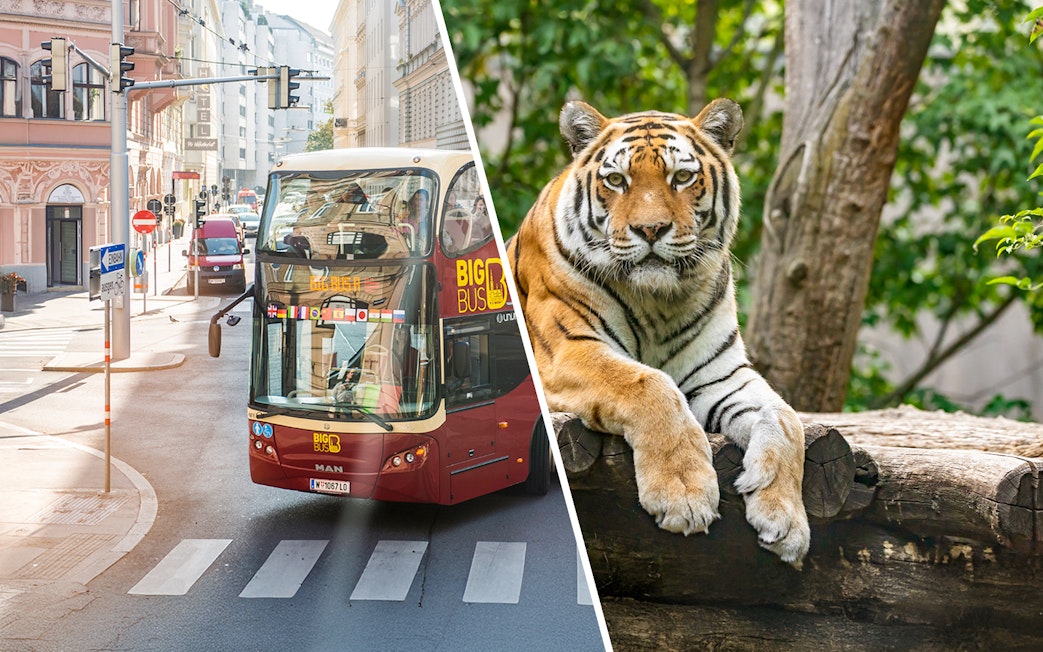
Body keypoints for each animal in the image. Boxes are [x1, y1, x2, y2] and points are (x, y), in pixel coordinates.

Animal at [506, 98, 810, 565]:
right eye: (616, 180)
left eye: (681, 177)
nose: (650, 230)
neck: (659, 302)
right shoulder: (568, 351)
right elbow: (649, 384)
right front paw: (684, 494)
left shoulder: (722, 374)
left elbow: (786, 419)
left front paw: (786, 519)